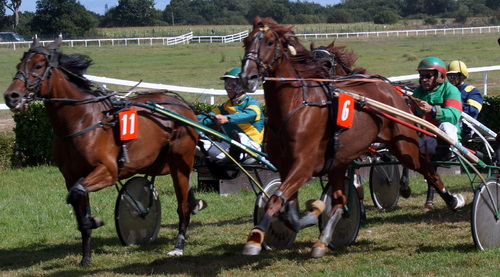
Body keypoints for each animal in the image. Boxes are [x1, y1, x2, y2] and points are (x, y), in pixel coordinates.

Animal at [3, 37, 203, 266]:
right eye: (19, 65)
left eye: (38, 66)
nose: (11, 96)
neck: (80, 122)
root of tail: (183, 104)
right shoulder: (71, 176)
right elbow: (77, 198)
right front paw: (86, 255)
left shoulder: (107, 171)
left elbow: (77, 193)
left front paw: (94, 220)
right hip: (160, 162)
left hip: (180, 162)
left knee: (183, 205)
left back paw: (179, 245)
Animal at [238, 16, 464, 258]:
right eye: (246, 41)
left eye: (270, 42)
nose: (247, 77)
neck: (294, 107)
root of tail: (388, 88)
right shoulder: (288, 166)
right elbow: (287, 209)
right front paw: (311, 213)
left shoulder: (303, 166)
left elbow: (276, 200)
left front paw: (255, 237)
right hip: (339, 161)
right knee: (340, 200)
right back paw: (322, 241)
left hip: (403, 146)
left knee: (426, 167)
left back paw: (451, 199)